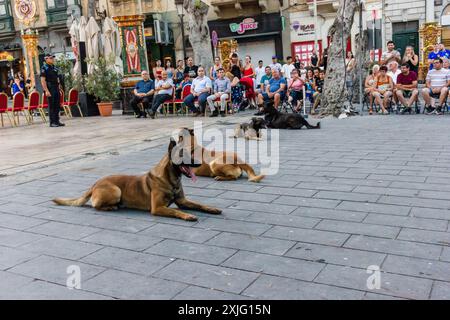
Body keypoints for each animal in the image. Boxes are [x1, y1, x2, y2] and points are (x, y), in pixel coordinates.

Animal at [51, 129, 221, 221]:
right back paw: (111, 207)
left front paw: (212, 208)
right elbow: (175, 211)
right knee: (96, 206)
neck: (170, 179)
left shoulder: (183, 201)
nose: (199, 163)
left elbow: (199, 204)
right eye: (185, 156)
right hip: (116, 191)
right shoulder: (157, 208)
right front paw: (188, 216)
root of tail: (94, 184)